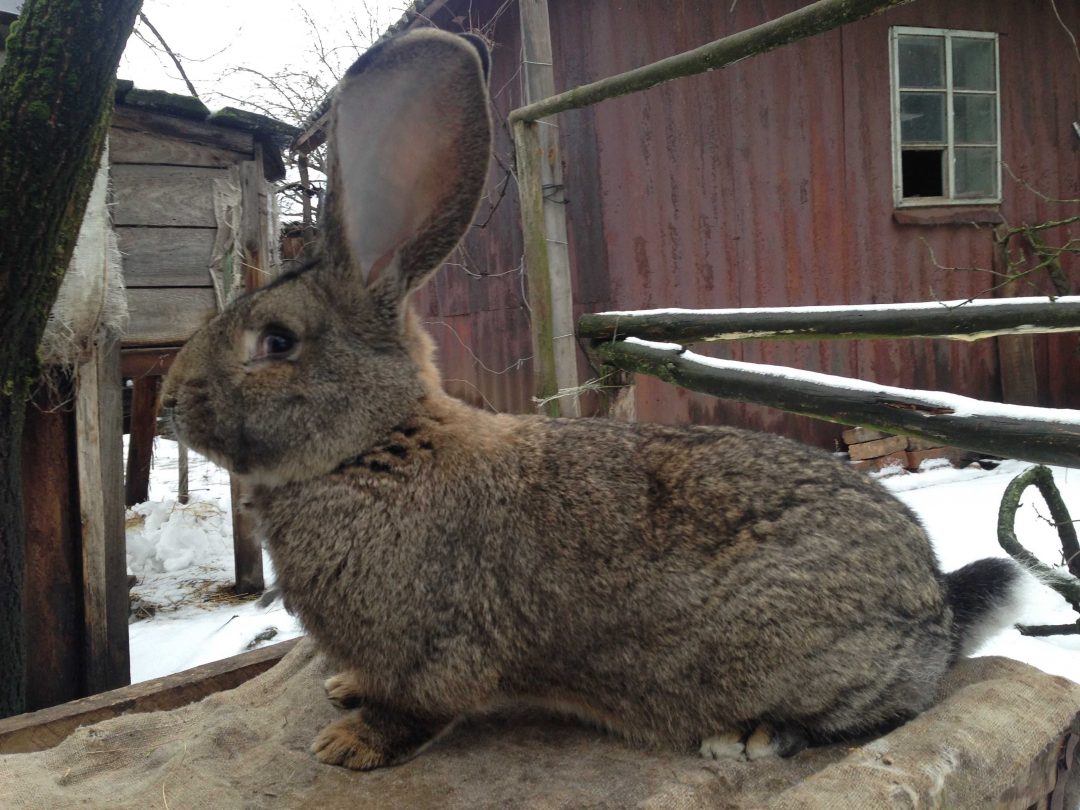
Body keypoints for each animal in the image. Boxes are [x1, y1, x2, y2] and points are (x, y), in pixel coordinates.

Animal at [164, 28, 1023, 768]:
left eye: (276, 343)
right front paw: (341, 691)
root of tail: (938, 608)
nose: (171, 401)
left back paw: (747, 736)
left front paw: (347, 744)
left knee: (881, 711)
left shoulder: (436, 650)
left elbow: (415, 708)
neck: (375, 443)